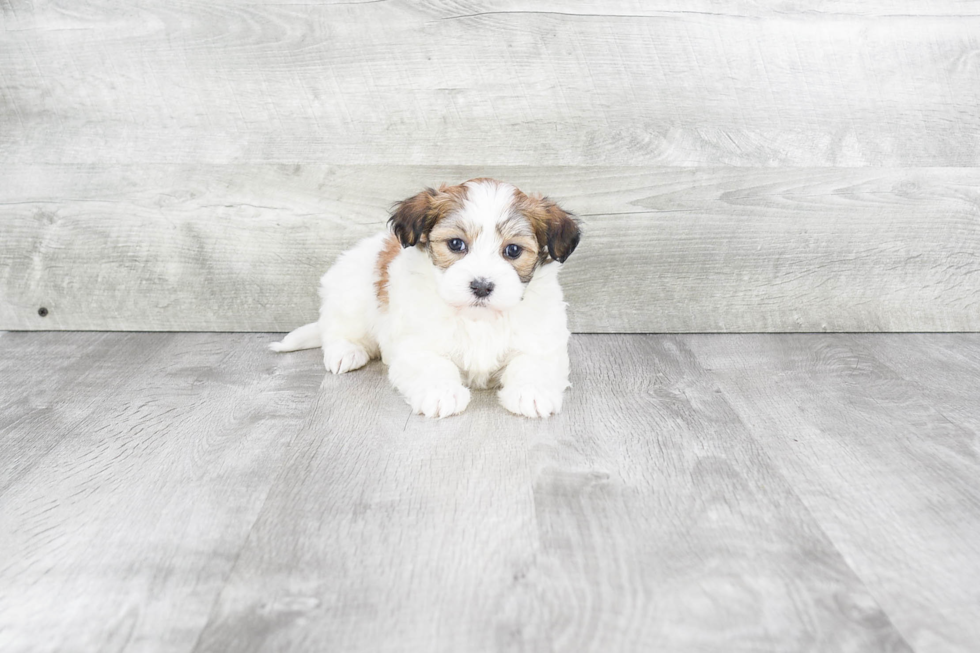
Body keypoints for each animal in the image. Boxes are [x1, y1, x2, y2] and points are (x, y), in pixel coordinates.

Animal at [268, 176, 580, 418]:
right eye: (456, 244)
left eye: (513, 250)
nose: (481, 286)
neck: (477, 319)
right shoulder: (416, 344)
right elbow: (434, 364)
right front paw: (441, 393)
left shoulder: (539, 340)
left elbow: (532, 363)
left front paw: (532, 392)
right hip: (351, 294)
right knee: (338, 328)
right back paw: (346, 352)